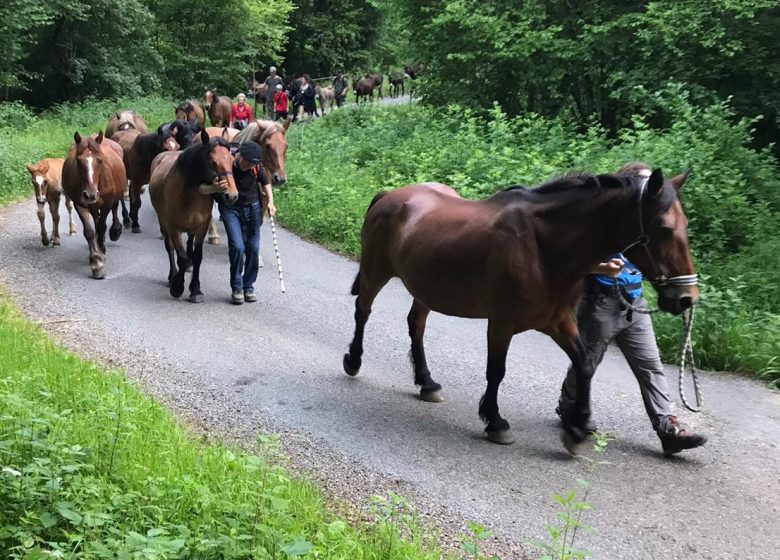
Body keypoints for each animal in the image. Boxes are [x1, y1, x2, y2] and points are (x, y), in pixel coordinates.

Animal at [61, 132, 126, 279]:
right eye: (78, 161)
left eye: (100, 160)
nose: (90, 194)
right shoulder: (80, 204)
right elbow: (89, 231)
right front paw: (97, 261)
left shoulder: (107, 202)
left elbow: (102, 227)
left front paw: (101, 251)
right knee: (96, 219)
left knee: (115, 207)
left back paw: (115, 231)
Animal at [149, 130, 238, 303]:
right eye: (213, 162)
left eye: (232, 161)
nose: (231, 195)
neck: (189, 192)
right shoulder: (173, 227)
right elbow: (182, 257)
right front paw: (177, 286)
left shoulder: (202, 226)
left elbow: (196, 257)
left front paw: (195, 290)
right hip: (163, 222)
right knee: (171, 248)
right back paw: (172, 275)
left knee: (189, 245)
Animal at [343, 165, 698, 452]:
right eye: (664, 229)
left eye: (686, 226)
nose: (686, 298)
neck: (544, 247)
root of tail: (391, 195)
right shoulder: (501, 322)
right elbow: (496, 371)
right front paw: (495, 421)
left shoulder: (557, 321)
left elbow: (584, 364)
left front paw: (578, 427)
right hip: (376, 272)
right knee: (363, 311)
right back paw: (354, 360)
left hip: (426, 289)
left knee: (416, 324)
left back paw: (427, 382)